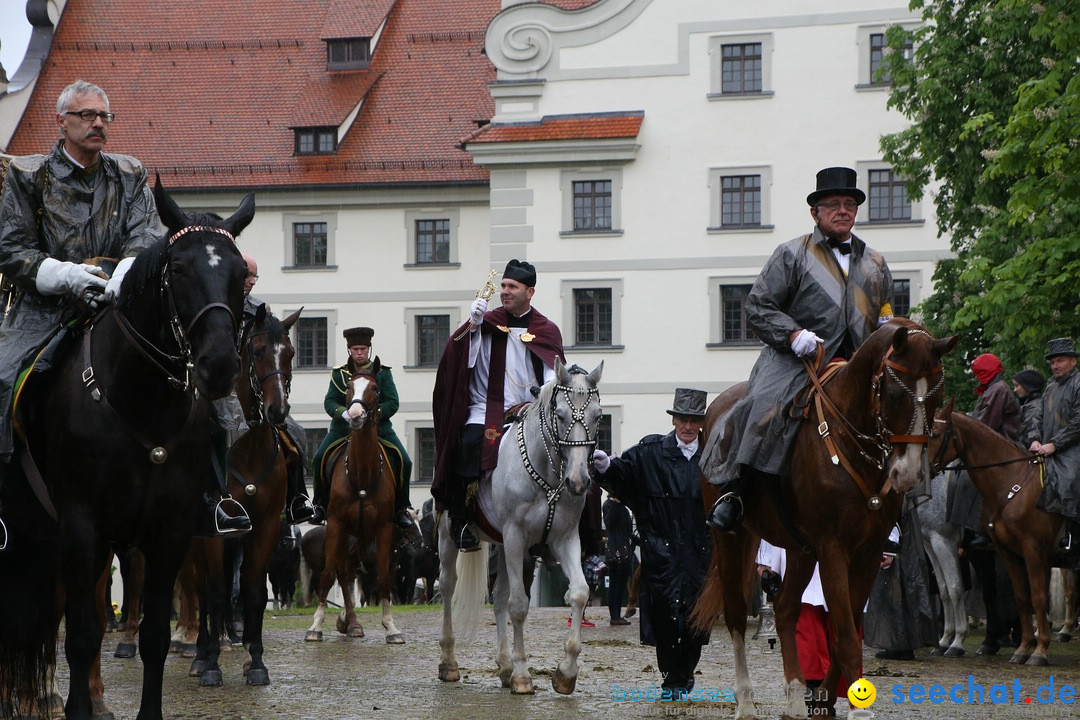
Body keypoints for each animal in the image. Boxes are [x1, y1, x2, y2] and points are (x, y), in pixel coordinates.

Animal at [0, 181, 250, 720]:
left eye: (241, 274)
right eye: (179, 268)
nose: (219, 365)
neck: (140, 403)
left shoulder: (169, 532)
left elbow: (153, 636)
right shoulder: (82, 528)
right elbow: (82, 634)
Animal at [304, 362, 406, 643]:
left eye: (375, 387)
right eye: (349, 386)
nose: (356, 415)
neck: (361, 473)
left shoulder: (383, 528)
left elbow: (383, 576)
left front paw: (391, 626)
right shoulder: (336, 524)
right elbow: (328, 574)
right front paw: (316, 625)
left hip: (363, 533)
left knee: (349, 568)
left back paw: (349, 621)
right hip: (346, 532)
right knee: (343, 570)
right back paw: (348, 621)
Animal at [438, 358, 609, 690]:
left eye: (598, 416)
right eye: (560, 414)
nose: (579, 481)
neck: (548, 474)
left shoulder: (564, 539)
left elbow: (579, 593)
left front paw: (566, 672)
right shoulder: (516, 535)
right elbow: (519, 605)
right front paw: (521, 675)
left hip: (504, 546)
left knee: (499, 596)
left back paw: (504, 665)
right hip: (449, 537)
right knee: (448, 586)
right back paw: (450, 662)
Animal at [691, 321, 954, 720]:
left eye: (937, 393)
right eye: (894, 393)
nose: (907, 474)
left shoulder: (867, 553)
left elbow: (847, 628)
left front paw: (825, 700)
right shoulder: (833, 550)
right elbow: (843, 635)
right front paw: (857, 709)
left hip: (800, 550)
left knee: (785, 610)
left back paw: (795, 697)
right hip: (732, 540)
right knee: (736, 613)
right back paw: (746, 701)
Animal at [933, 408, 1067, 669]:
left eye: (935, 433)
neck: (1010, 482)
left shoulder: (1034, 551)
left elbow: (1038, 598)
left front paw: (1040, 651)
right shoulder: (1007, 552)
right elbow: (1021, 598)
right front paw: (1023, 648)